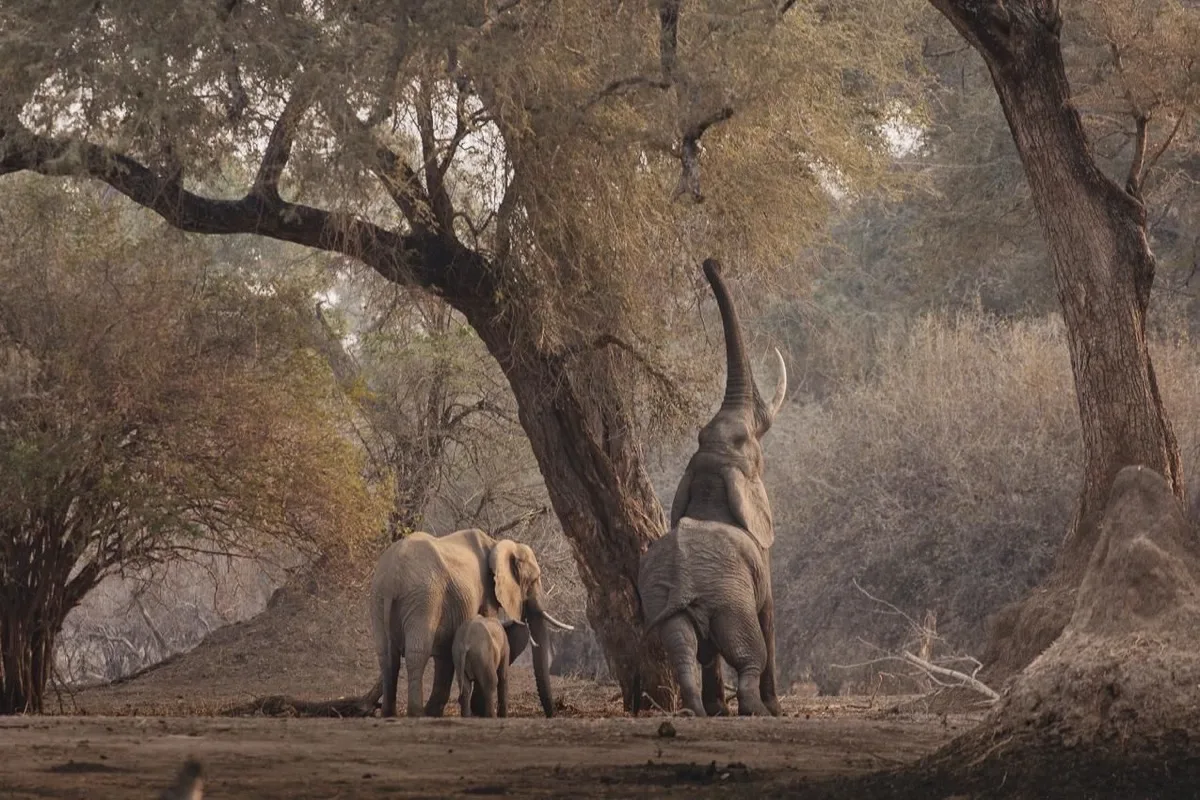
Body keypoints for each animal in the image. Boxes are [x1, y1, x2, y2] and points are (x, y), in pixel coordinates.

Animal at [369, 528, 573, 718]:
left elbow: (444, 653)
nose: (552, 714)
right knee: (417, 653)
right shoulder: (487, 589)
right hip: (423, 598)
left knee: (387, 656)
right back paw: (416, 713)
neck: (497, 544)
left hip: (378, 599)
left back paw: (389, 713)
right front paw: (478, 709)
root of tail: (392, 579)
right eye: (534, 580)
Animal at [638, 257, 787, 717]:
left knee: (683, 650)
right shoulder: (762, 561)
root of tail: (687, 583)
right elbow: (770, 615)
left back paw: (698, 711)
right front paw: (777, 709)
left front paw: (719, 708)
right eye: (752, 446)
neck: (711, 484)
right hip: (729, 599)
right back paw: (756, 710)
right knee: (750, 651)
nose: (711, 262)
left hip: (665, 601)